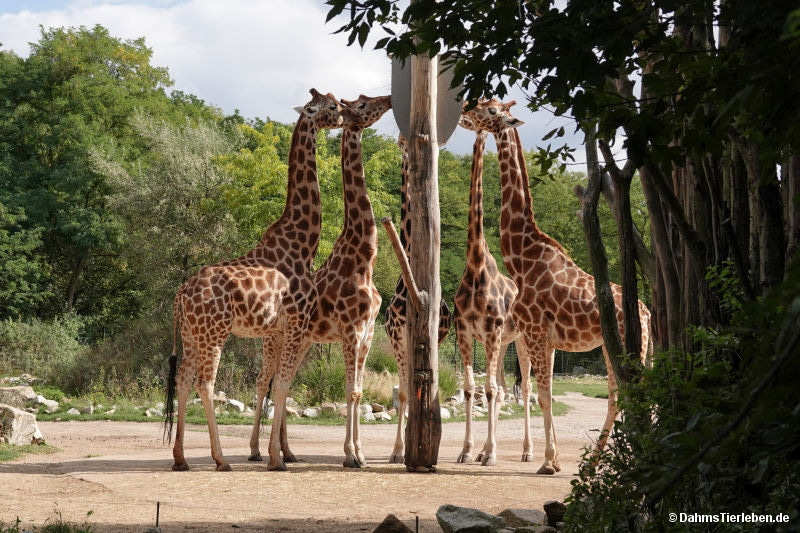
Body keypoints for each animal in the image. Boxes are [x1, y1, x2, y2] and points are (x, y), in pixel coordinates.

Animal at [164, 89, 345, 472]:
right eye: (331, 106)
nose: (344, 115)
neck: (302, 244)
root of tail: (180, 295)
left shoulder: (277, 330)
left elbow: (277, 384)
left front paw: (277, 452)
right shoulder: (296, 324)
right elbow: (283, 385)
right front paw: (276, 457)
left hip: (191, 334)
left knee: (184, 379)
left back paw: (181, 458)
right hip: (214, 333)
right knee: (205, 382)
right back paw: (220, 458)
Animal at [247, 94, 392, 469]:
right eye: (364, 103)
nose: (388, 99)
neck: (364, 259)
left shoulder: (368, 333)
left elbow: (358, 392)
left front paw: (360, 453)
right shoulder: (351, 331)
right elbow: (349, 391)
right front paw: (351, 455)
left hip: (303, 341)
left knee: (283, 385)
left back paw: (287, 451)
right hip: (275, 339)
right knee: (265, 381)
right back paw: (257, 450)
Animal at [460, 99, 651, 474]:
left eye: (491, 110)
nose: (464, 112)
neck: (521, 258)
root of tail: (649, 312)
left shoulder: (534, 331)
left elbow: (544, 395)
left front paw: (548, 461)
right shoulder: (544, 338)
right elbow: (541, 393)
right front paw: (553, 458)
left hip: (625, 346)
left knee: (626, 393)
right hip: (620, 347)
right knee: (623, 393)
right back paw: (601, 462)